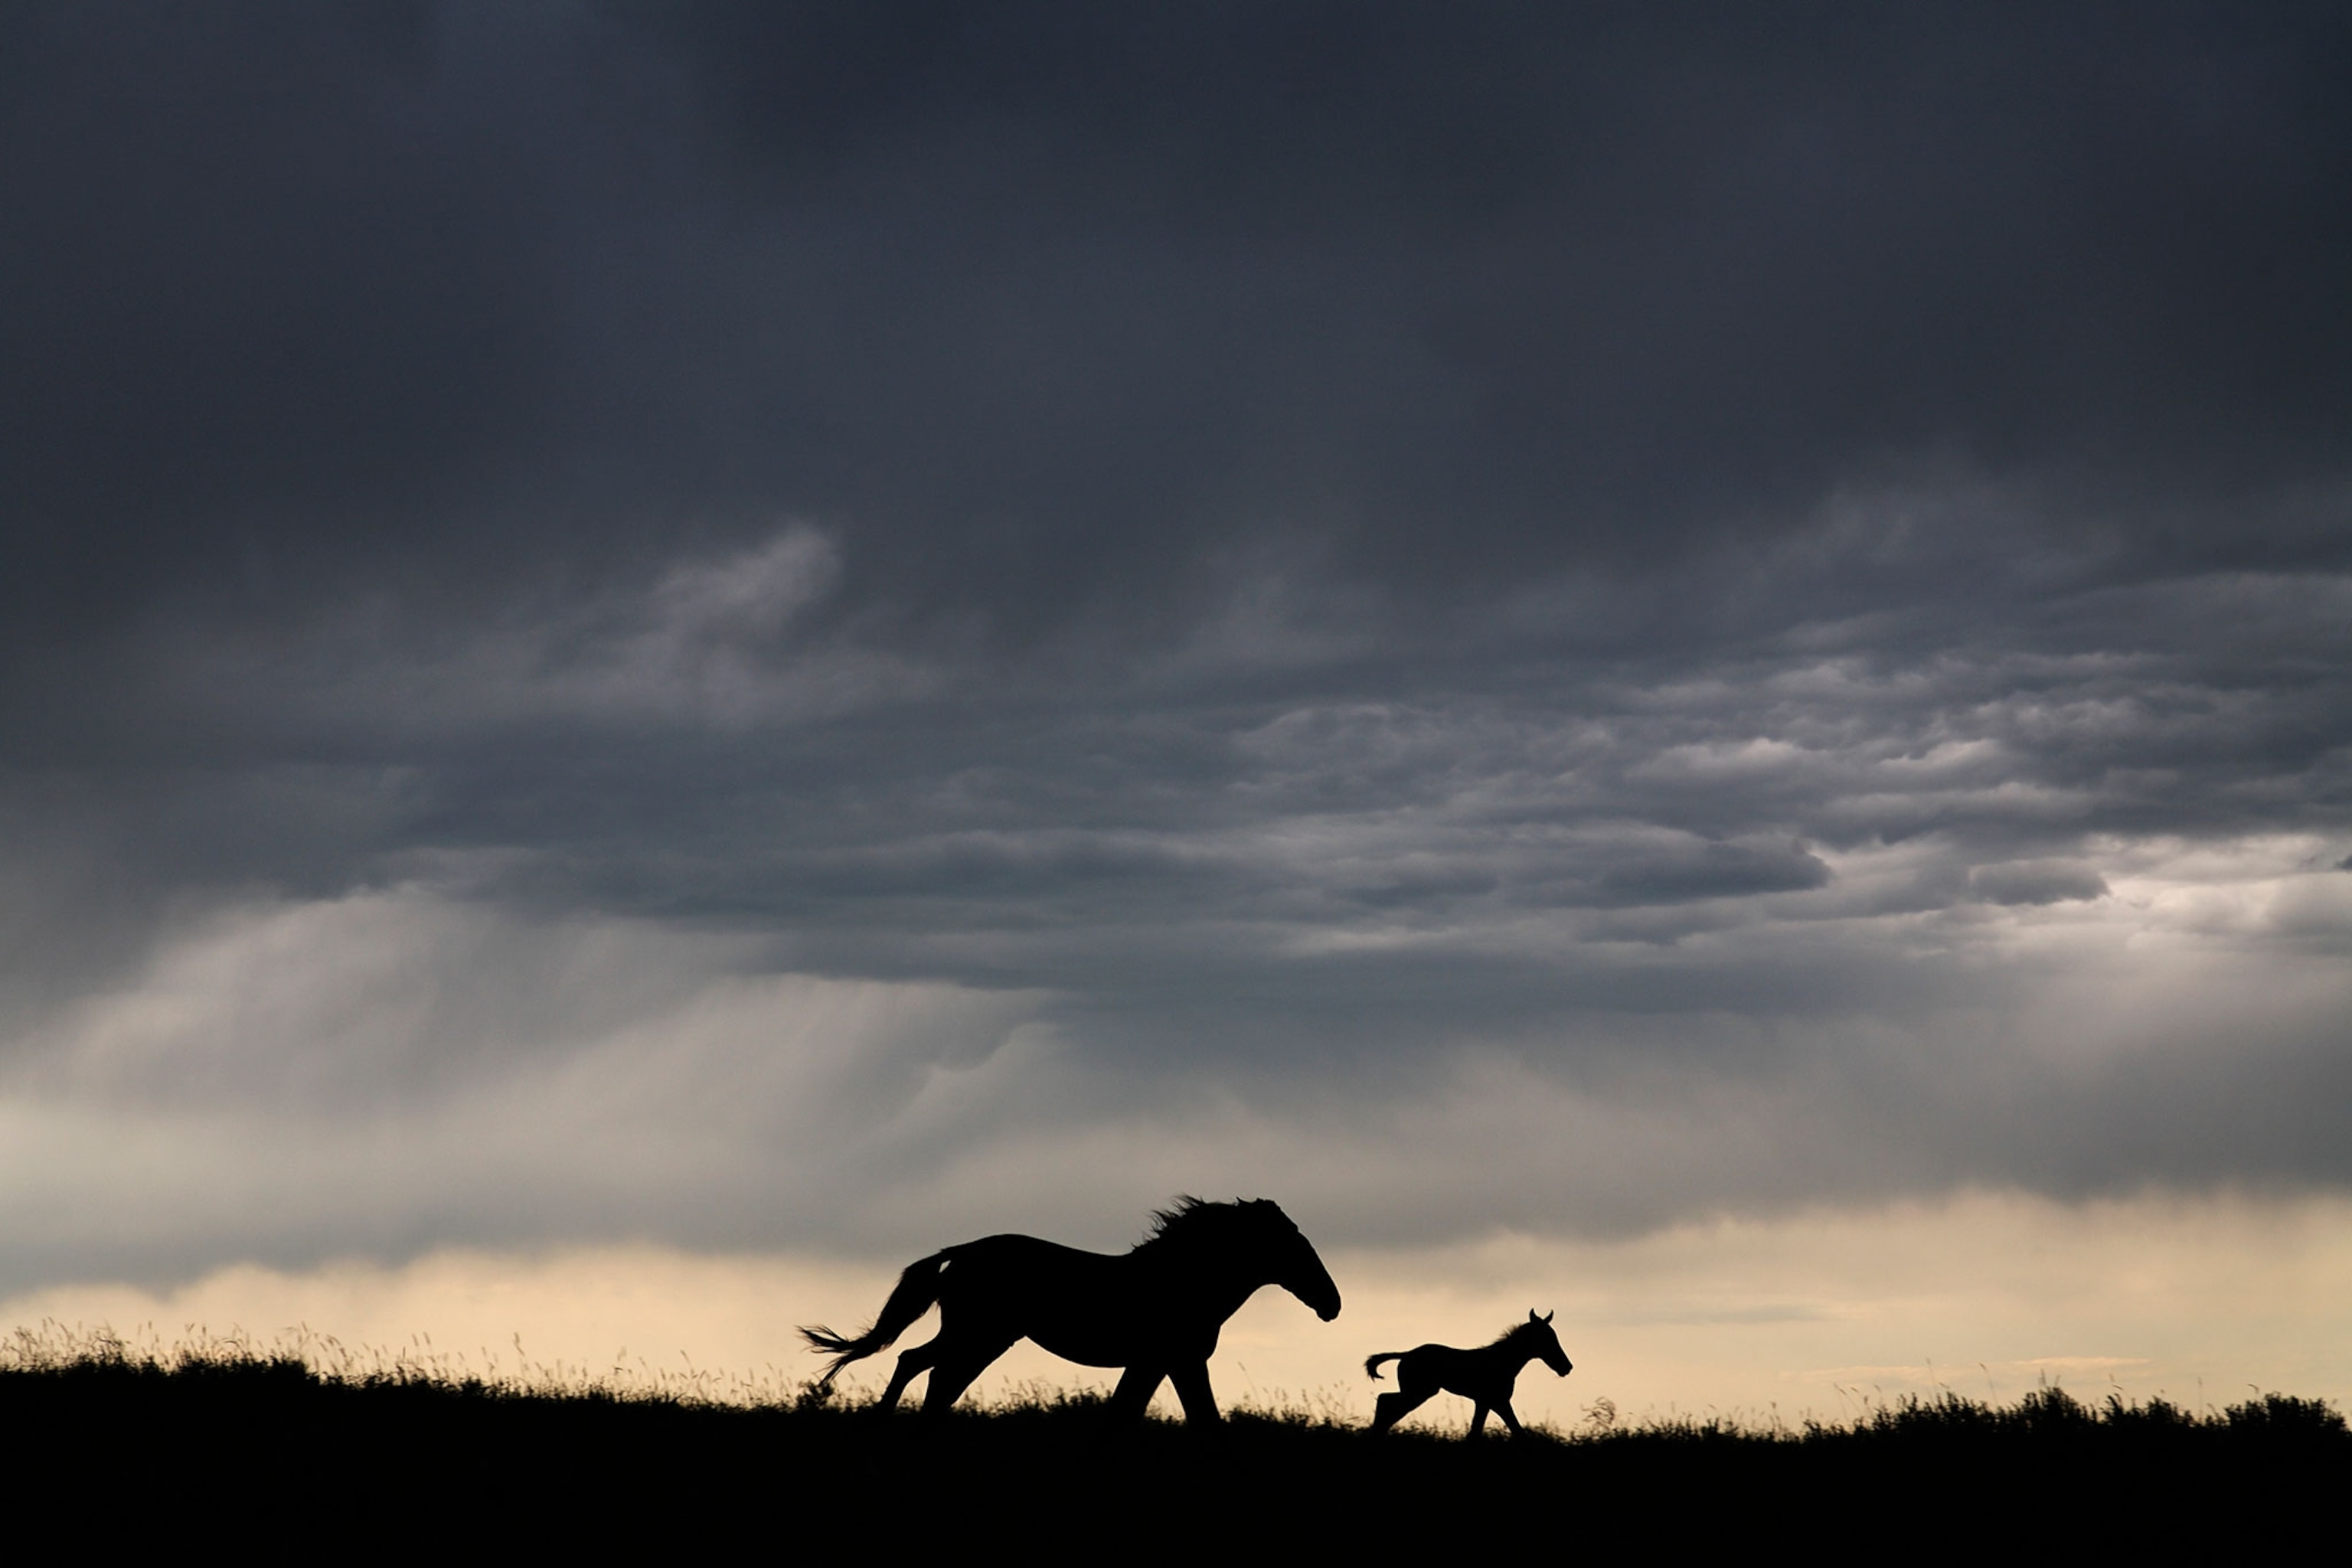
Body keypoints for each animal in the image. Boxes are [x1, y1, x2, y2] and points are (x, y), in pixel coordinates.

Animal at [801, 1196, 1342, 1424]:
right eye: (1292, 1245)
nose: (1332, 1304)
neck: (1182, 1281)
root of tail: (961, 1252)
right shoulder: (1175, 1360)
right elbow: (1191, 1417)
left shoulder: (1161, 1363)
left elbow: (1140, 1411)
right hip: (982, 1335)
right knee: (926, 1369)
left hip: (981, 1336)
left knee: (923, 1368)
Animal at [1364, 1310, 1573, 1438]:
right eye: (1547, 1339)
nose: (1567, 1367)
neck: (1502, 1361)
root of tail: (1406, 1354)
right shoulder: (1498, 1401)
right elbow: (1517, 1430)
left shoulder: (1485, 1403)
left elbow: (1477, 1431)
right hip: (1419, 1393)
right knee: (1386, 1402)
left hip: (1418, 1392)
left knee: (1387, 1403)